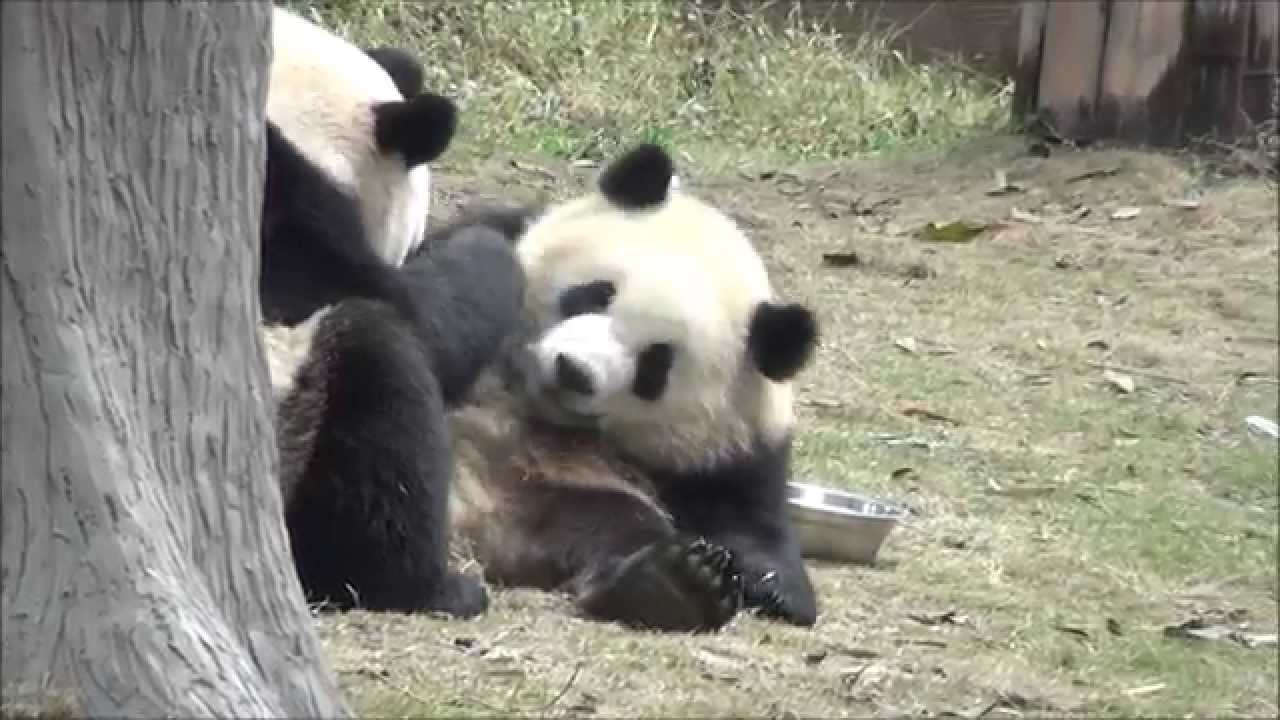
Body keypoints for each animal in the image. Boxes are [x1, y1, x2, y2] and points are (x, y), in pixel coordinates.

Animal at [258, 6, 525, 617]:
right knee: (380, 369)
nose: (412, 243)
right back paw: (432, 587)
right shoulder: (298, 241)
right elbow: (425, 319)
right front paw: (499, 238)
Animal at [446, 144, 822, 632]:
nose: (573, 371)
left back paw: (676, 585)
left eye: (654, 365)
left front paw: (777, 586)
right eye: (595, 294)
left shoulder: (726, 457)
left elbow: (751, 525)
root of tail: (472, 519)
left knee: (615, 524)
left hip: (548, 500)